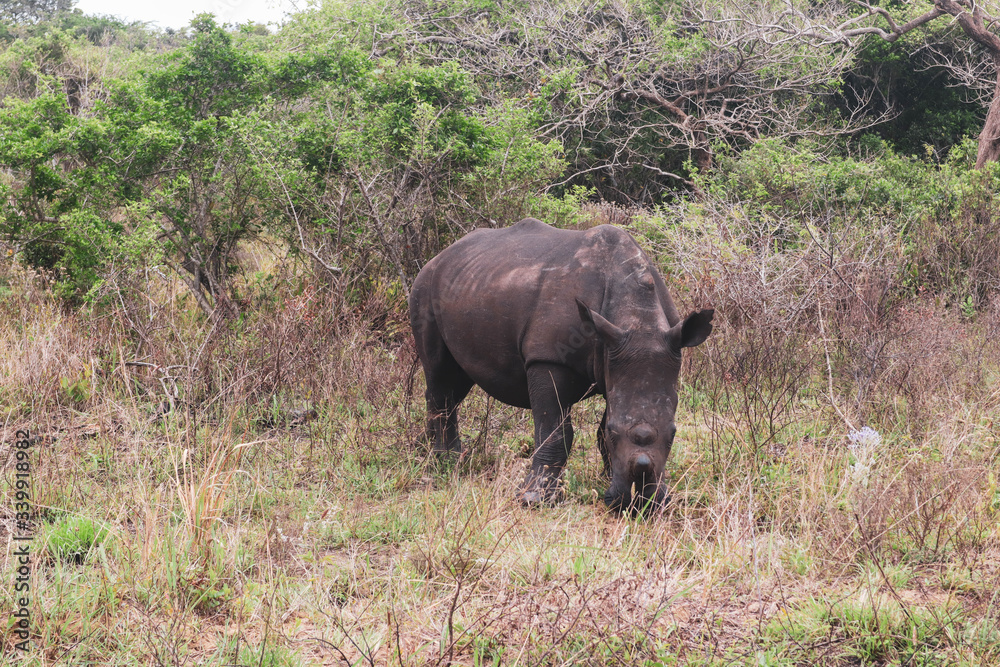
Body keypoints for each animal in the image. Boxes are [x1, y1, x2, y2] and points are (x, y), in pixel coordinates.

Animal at [409, 218, 713, 512]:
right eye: (615, 432)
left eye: (674, 434)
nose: (641, 505)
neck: (638, 320)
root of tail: (441, 255)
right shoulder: (547, 358)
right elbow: (554, 431)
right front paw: (534, 498)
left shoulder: (616, 361)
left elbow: (602, 424)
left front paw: (613, 485)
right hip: (423, 288)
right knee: (439, 375)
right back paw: (446, 462)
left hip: (468, 282)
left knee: (456, 383)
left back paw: (428, 451)